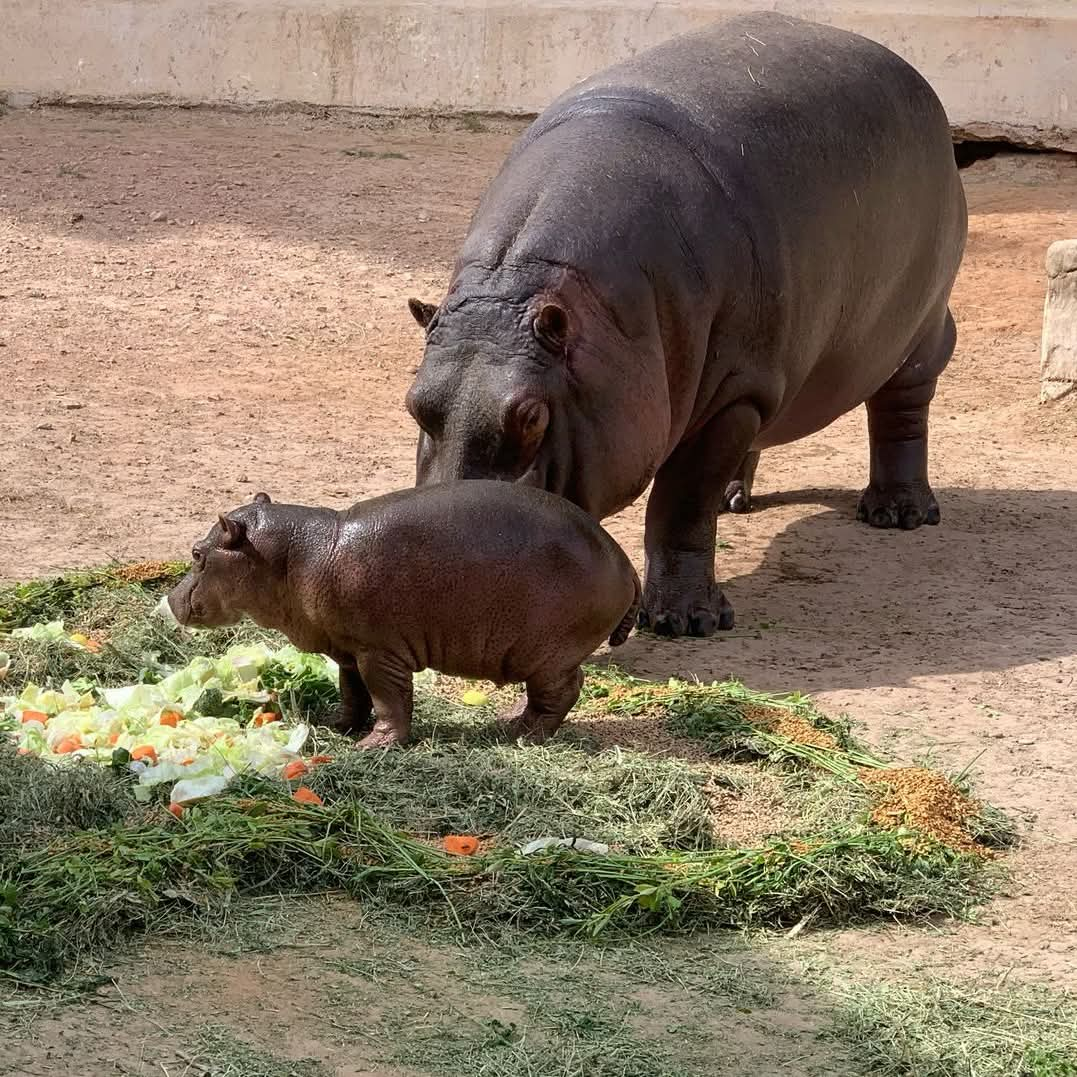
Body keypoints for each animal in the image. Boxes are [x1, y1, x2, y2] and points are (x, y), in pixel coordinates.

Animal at [165, 482, 637, 745]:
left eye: (197, 553)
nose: (170, 599)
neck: (294, 554)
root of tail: (625, 562)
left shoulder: (379, 652)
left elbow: (389, 699)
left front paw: (375, 746)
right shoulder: (348, 650)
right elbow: (352, 693)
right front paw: (339, 727)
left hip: (547, 657)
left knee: (564, 691)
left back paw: (521, 735)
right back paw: (510, 723)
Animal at [402, 12, 969, 633]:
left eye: (531, 417)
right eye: (414, 403)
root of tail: (905, 68)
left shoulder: (732, 397)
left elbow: (681, 502)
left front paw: (684, 622)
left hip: (917, 331)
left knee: (901, 409)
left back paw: (898, 513)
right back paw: (735, 501)